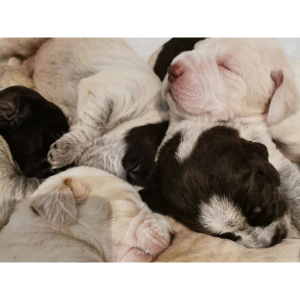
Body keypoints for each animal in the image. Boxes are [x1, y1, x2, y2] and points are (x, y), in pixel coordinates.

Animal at [0, 37, 168, 173]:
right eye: (135, 166)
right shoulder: (104, 90)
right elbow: (93, 125)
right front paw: (66, 151)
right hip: (26, 41)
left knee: (11, 67)